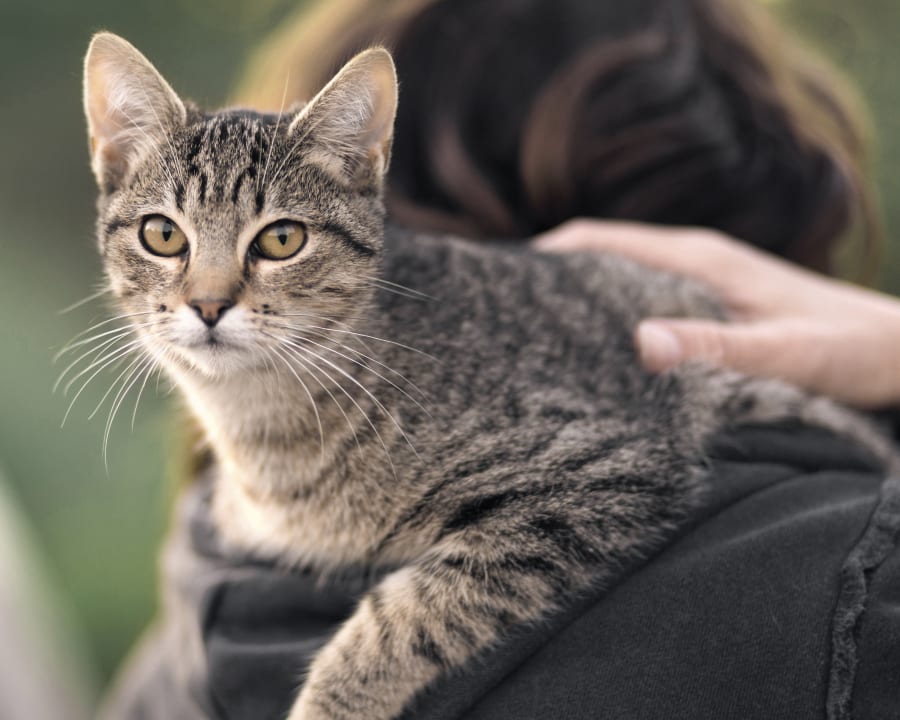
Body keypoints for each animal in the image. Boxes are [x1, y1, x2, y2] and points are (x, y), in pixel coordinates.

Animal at [82, 32, 892, 720]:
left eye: (282, 239)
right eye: (163, 235)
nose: (209, 305)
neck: (265, 433)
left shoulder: (605, 468)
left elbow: (408, 611)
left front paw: (330, 704)